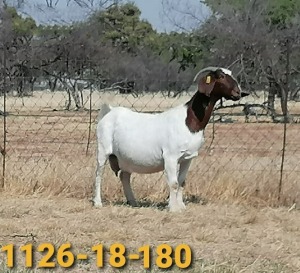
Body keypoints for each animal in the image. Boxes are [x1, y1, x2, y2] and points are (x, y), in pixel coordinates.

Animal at [94, 66, 248, 210]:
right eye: (221, 76)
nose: (238, 93)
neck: (189, 120)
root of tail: (109, 112)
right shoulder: (171, 156)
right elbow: (173, 183)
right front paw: (173, 208)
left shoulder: (188, 158)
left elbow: (181, 182)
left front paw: (181, 206)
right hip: (103, 149)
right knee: (99, 173)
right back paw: (97, 202)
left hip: (125, 157)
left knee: (124, 176)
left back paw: (133, 201)